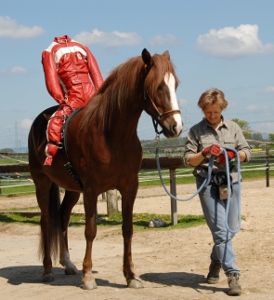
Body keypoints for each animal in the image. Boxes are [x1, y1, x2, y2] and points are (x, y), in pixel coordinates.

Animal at [28, 48, 182, 290]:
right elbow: (90, 230)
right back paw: (47, 271)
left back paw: (68, 264)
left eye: (175, 84)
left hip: (72, 189)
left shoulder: (129, 188)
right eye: (158, 86)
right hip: (42, 183)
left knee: (62, 218)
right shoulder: (91, 190)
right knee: (46, 221)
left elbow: (127, 229)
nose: (176, 127)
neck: (112, 135)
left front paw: (130, 275)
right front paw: (88, 277)